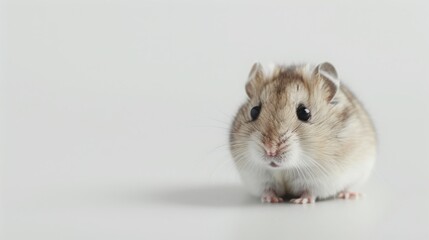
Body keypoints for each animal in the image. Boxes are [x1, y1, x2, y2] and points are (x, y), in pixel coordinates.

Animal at [231, 62, 374, 203]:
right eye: (254, 111)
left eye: (304, 113)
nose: (270, 150)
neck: (287, 168)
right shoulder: (258, 178)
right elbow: (268, 189)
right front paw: (271, 200)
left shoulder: (319, 180)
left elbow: (309, 191)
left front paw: (300, 201)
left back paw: (350, 195)